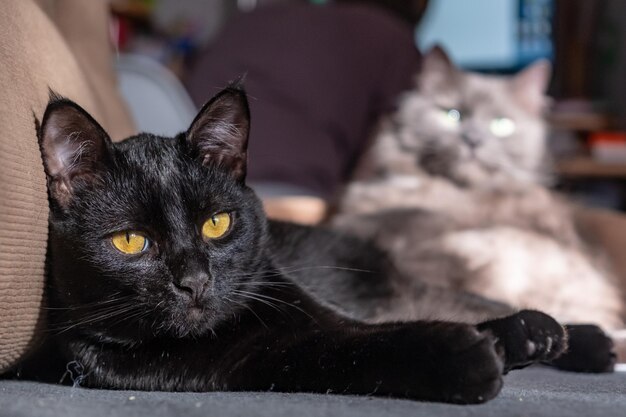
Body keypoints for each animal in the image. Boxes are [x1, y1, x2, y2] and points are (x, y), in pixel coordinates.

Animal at [31, 86, 568, 402]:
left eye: (216, 223)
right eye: (130, 241)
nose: (195, 282)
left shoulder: (316, 306)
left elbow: (367, 329)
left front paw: (523, 331)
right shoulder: (249, 362)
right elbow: (352, 348)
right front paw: (463, 357)